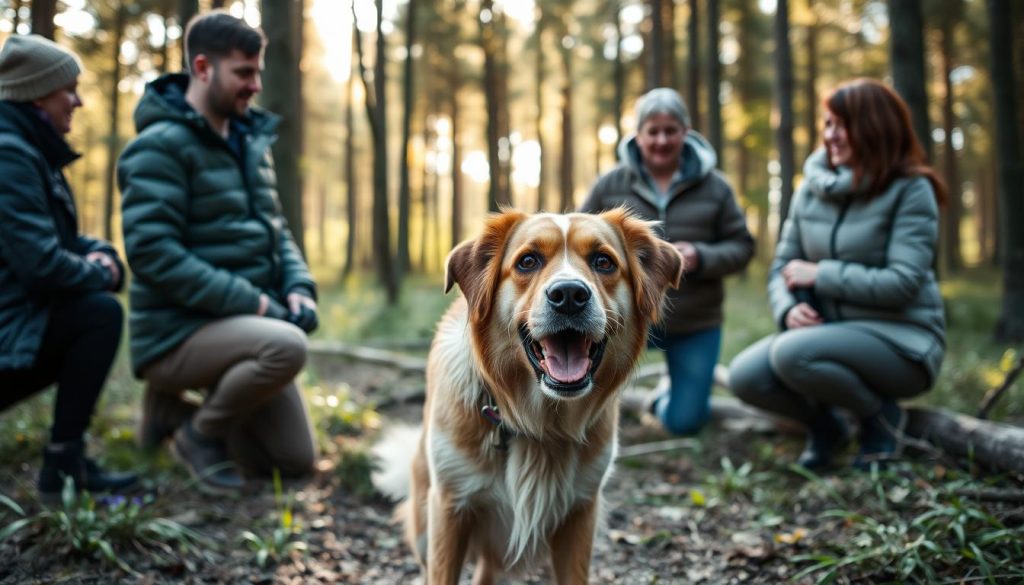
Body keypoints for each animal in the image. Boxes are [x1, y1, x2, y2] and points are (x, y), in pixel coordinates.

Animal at [380, 211, 684, 585]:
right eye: (528, 261)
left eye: (603, 261)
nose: (569, 295)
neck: (539, 421)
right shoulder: (450, 508)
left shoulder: (580, 511)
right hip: (426, 525)